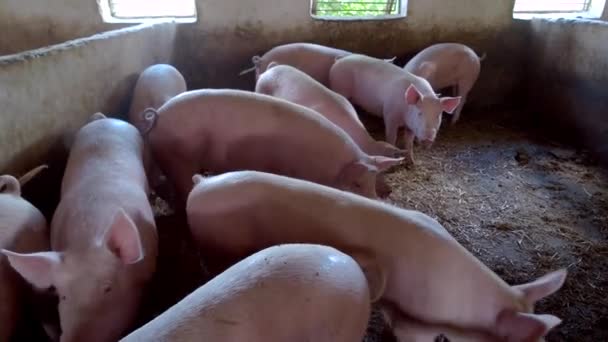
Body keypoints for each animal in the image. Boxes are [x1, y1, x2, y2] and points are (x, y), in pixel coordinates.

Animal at [330, 54, 464, 165]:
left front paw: (412, 163)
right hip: (340, 87)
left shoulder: (411, 126)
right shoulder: (390, 116)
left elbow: (409, 143)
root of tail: (339, 61)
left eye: (438, 116)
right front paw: (396, 161)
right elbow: (391, 138)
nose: (428, 139)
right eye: (420, 113)